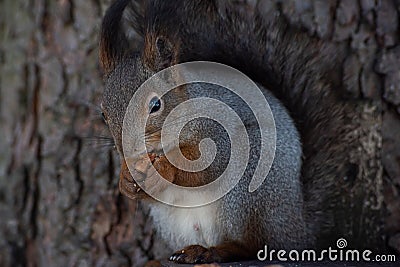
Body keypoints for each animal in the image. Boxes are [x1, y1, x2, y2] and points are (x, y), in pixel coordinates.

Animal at [98, 0, 386, 264]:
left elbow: (208, 165)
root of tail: (298, 228)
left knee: (255, 246)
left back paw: (219, 250)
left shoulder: (220, 133)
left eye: (156, 105)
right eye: (103, 113)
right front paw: (126, 181)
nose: (127, 151)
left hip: (249, 185)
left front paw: (166, 169)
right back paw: (190, 252)